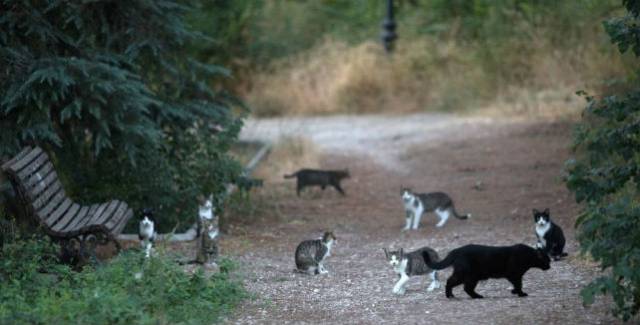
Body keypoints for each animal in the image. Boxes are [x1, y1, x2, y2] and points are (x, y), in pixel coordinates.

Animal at [420, 243, 552, 298]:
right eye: (547, 261)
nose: (550, 267)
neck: (528, 256)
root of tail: (456, 250)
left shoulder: (515, 276)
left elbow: (517, 284)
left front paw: (514, 291)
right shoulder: (514, 274)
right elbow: (519, 284)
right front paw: (520, 293)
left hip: (470, 276)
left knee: (459, 285)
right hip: (468, 275)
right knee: (457, 285)